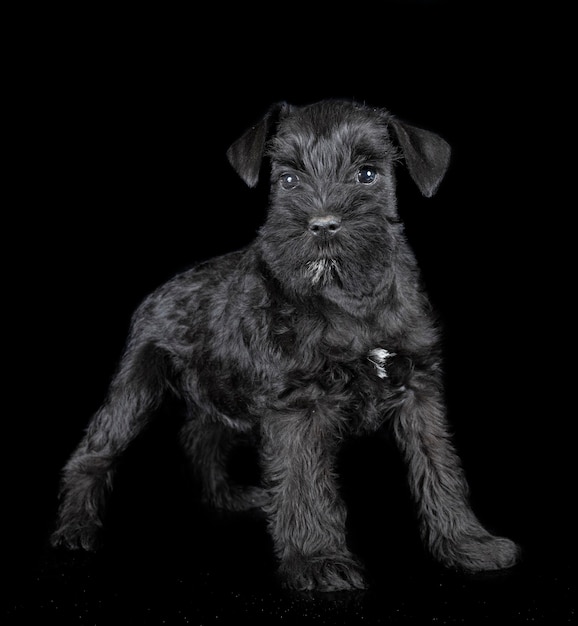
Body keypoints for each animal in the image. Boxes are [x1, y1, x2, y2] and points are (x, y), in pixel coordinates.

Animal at [50, 100, 516, 588]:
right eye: (289, 179)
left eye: (367, 174)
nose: (323, 225)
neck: (350, 301)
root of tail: (159, 290)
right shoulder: (299, 405)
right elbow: (303, 482)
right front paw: (317, 561)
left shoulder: (419, 391)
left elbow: (440, 468)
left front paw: (468, 544)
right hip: (136, 389)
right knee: (94, 451)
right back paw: (76, 528)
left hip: (220, 388)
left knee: (201, 436)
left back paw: (228, 497)